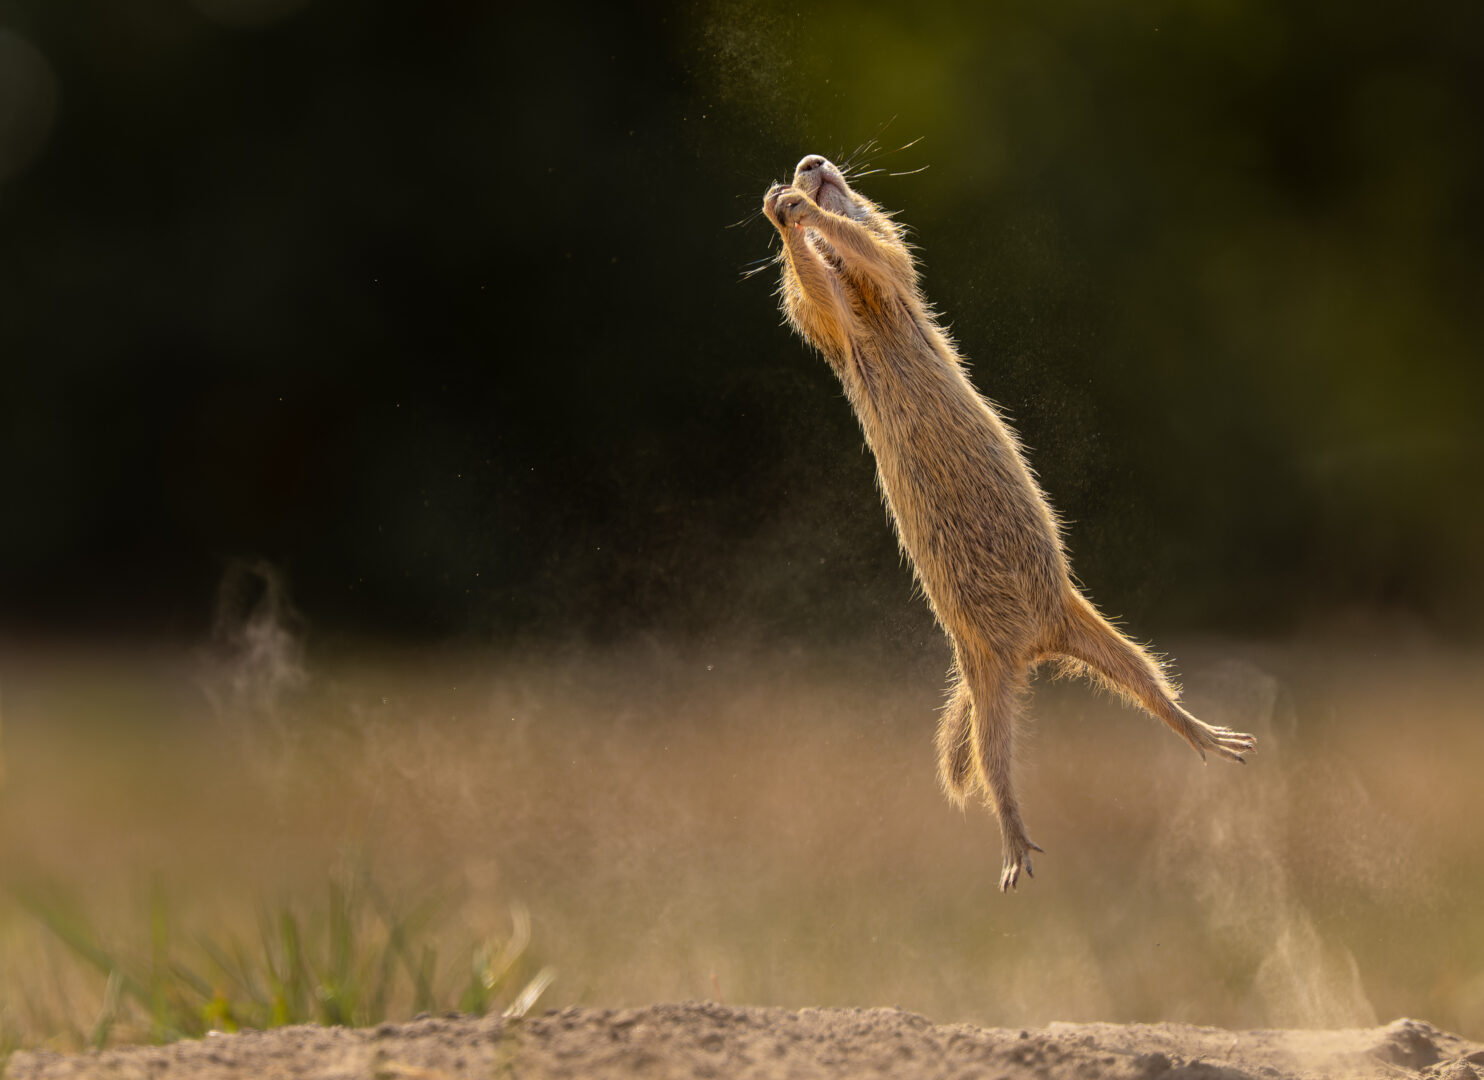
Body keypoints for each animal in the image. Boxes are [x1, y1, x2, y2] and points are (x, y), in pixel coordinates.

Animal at [762, 154, 1255, 890]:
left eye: (844, 174)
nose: (810, 162)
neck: (864, 313)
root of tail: (1034, 649)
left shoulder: (887, 272)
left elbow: (877, 245)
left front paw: (801, 208)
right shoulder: (831, 318)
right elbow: (813, 289)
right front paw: (784, 210)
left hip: (1089, 632)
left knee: (1146, 683)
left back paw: (1207, 735)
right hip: (989, 682)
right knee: (998, 768)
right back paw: (1015, 845)